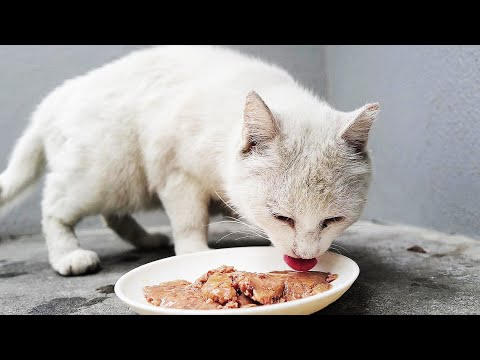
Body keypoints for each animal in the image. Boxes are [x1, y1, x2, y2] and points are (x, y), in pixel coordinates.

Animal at [0, 45, 380, 276]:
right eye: (282, 218)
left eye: (332, 220)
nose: (304, 257)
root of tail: (53, 100)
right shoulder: (177, 173)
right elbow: (189, 220)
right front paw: (193, 251)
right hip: (102, 174)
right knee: (54, 208)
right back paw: (69, 255)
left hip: (122, 185)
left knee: (113, 215)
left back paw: (147, 239)